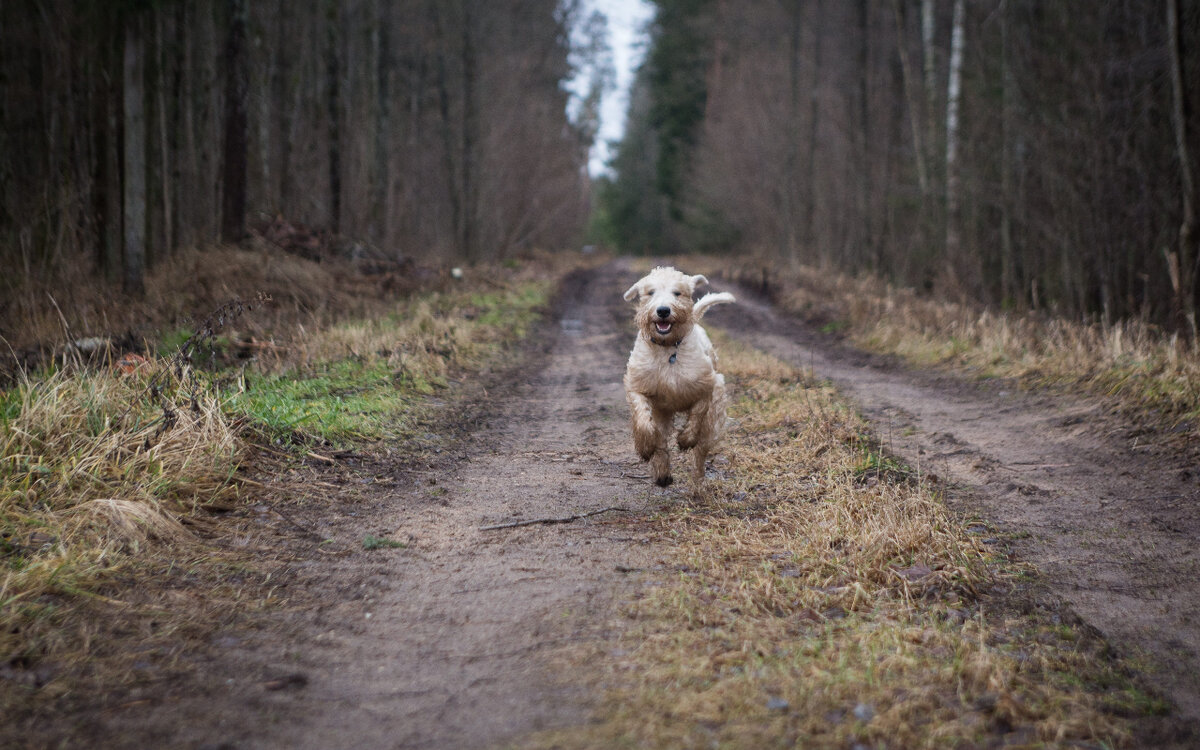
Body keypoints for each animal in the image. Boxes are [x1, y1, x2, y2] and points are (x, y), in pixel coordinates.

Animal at [624, 266, 734, 489]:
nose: (663, 310)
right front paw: (645, 447)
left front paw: (685, 439)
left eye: (677, 293)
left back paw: (698, 485)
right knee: (661, 439)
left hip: (712, 422)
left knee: (701, 452)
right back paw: (662, 473)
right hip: (662, 413)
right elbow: (644, 421)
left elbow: (698, 413)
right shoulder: (638, 386)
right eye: (650, 292)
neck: (667, 349)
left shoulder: (709, 385)